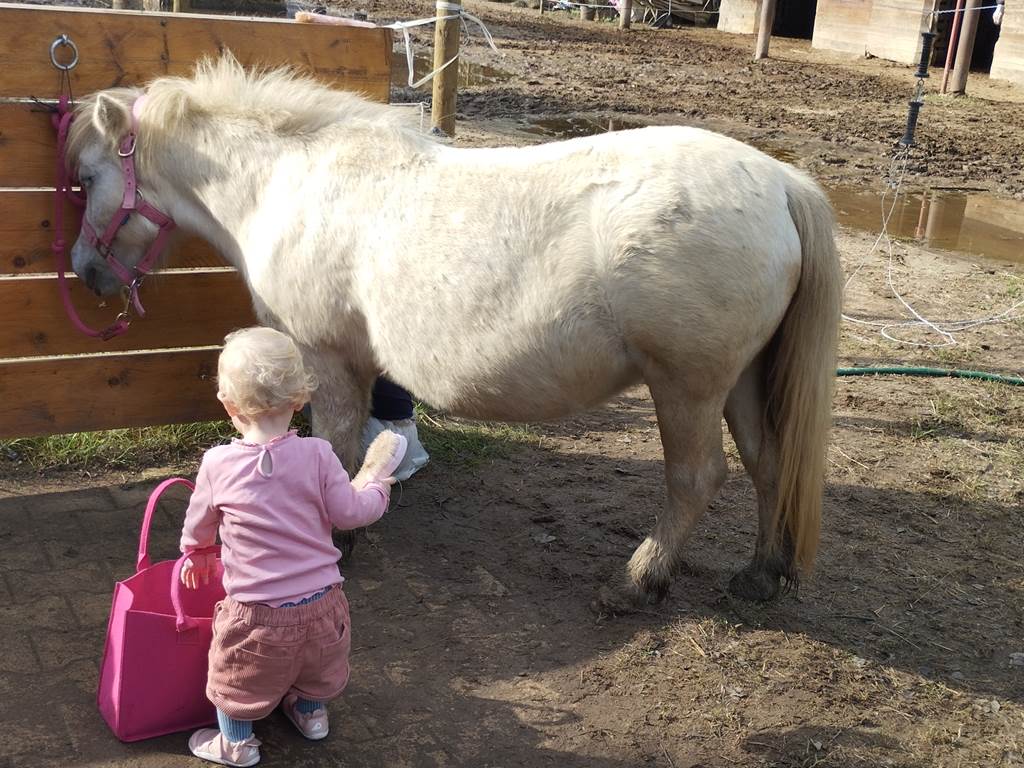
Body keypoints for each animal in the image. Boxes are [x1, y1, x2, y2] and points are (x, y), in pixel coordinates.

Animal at [67, 56, 842, 606]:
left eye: (87, 178)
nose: (85, 272)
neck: (289, 180)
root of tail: (781, 182)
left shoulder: (325, 356)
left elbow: (334, 444)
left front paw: (337, 540)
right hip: (739, 380)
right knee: (769, 464)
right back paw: (761, 573)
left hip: (688, 386)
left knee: (697, 478)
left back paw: (637, 580)